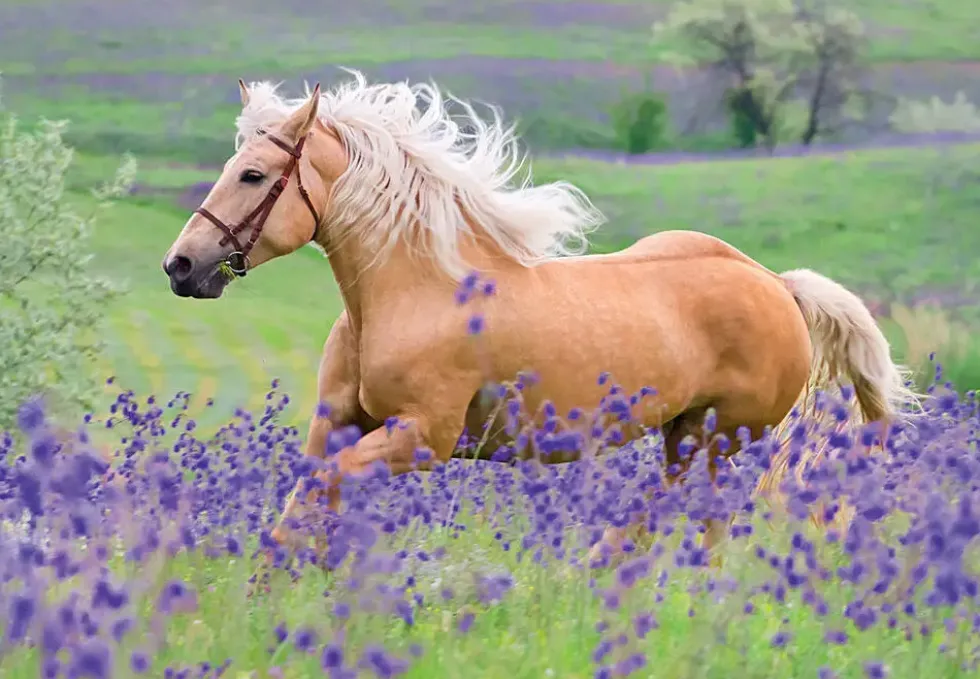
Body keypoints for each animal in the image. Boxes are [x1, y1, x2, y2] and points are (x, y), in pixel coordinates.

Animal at [161, 71, 919, 569]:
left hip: (718, 437)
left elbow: (326, 491)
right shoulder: (338, 425)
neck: (414, 291)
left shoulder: (422, 437)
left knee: (685, 513)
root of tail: (776, 285)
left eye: (254, 175)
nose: (181, 266)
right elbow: (302, 507)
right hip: (686, 434)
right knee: (685, 516)